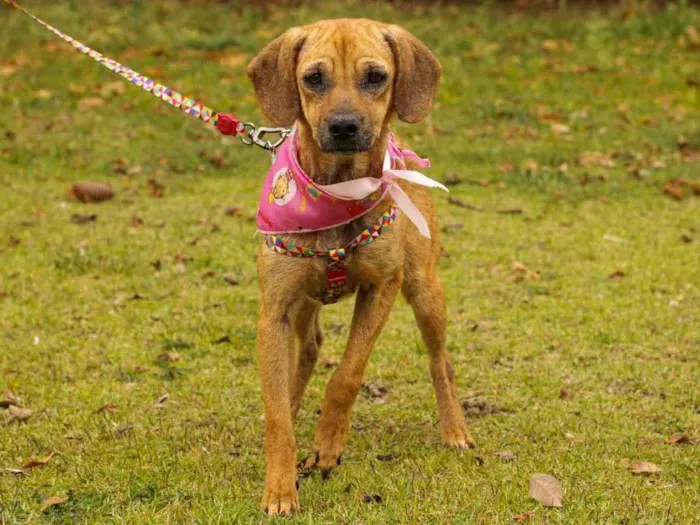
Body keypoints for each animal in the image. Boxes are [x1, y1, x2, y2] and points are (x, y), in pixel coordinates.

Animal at [246, 18, 476, 512]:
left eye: (376, 76)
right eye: (313, 78)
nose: (344, 127)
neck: (337, 190)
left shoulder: (381, 288)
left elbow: (347, 376)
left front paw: (328, 445)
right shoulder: (274, 310)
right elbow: (277, 413)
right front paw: (281, 487)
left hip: (425, 290)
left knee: (441, 362)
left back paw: (454, 429)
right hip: (303, 303)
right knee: (308, 350)